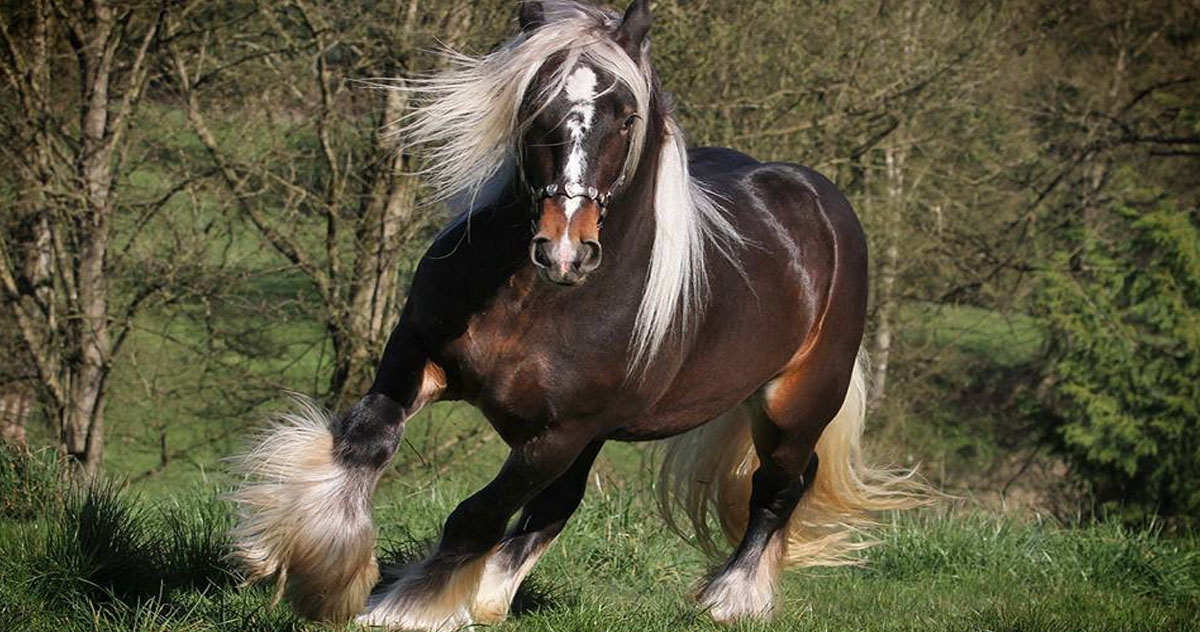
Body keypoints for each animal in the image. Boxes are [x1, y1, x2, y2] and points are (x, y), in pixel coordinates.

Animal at [226, 1, 916, 628]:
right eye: (535, 107)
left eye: (627, 118)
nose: (565, 250)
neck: (536, 301)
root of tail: (819, 199)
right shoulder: (417, 357)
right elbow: (365, 444)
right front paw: (320, 575)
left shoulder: (558, 434)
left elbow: (477, 514)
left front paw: (405, 609)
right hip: (606, 432)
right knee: (562, 504)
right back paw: (492, 596)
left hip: (790, 406)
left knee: (779, 487)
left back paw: (731, 599)